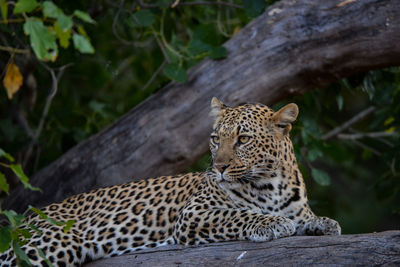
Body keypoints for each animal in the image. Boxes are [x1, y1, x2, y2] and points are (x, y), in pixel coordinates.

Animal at [0, 97, 340, 266]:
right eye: (216, 139)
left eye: (243, 139)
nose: (219, 167)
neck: (270, 183)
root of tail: (25, 219)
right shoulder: (195, 213)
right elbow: (237, 213)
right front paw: (271, 223)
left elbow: (306, 218)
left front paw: (323, 223)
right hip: (47, 245)